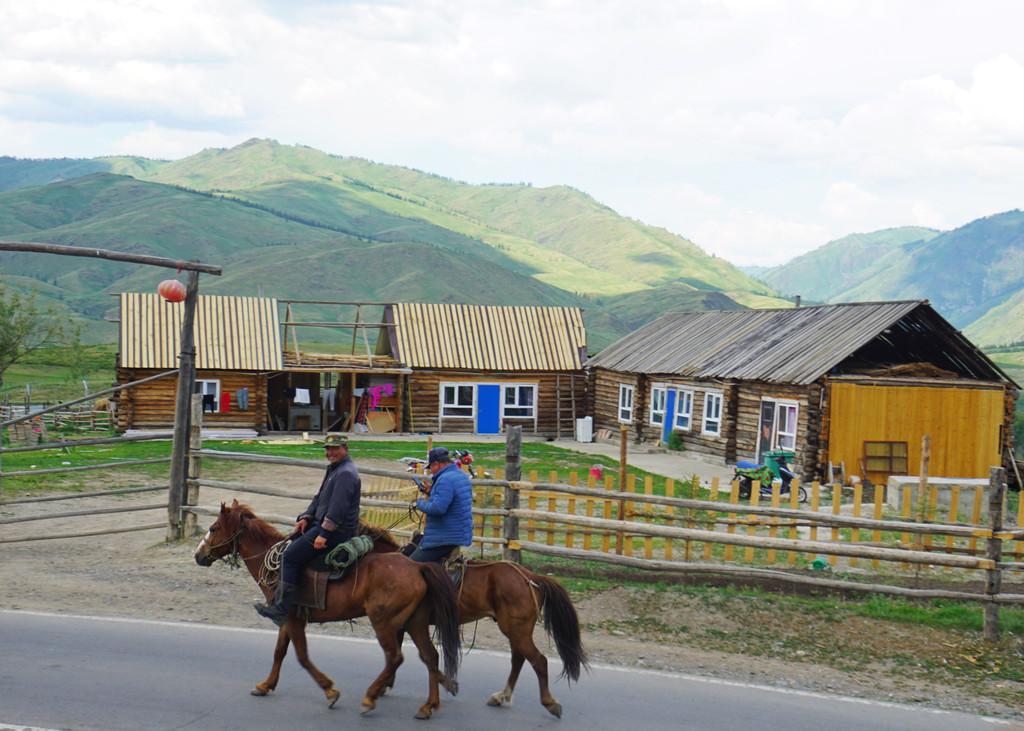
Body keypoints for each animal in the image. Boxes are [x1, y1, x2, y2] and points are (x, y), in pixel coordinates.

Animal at [191, 501, 460, 716]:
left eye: (213, 528)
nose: (198, 554)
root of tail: (417, 567)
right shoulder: (287, 619)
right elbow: (279, 652)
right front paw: (266, 685)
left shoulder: (293, 620)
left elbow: (302, 656)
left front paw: (330, 691)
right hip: (415, 622)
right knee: (430, 656)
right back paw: (429, 706)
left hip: (385, 623)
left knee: (395, 658)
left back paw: (370, 697)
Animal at [360, 524, 589, 716]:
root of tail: (532, 578)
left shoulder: (400, 621)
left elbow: (406, 653)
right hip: (517, 630)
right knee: (519, 659)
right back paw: (501, 696)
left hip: (517, 629)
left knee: (538, 661)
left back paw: (549, 703)